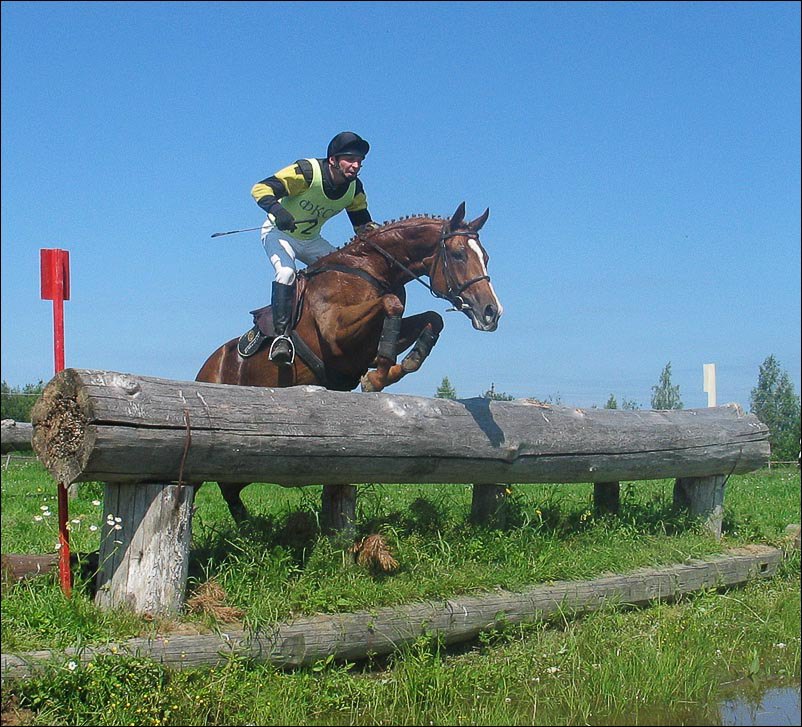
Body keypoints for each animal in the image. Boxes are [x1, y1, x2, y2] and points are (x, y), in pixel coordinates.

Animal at [195, 203, 500, 524]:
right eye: (458, 254)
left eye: (485, 257)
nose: (491, 312)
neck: (371, 270)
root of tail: (209, 366)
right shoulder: (336, 334)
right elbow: (392, 304)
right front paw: (377, 376)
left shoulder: (364, 346)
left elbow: (431, 318)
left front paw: (397, 367)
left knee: (230, 487)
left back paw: (249, 527)